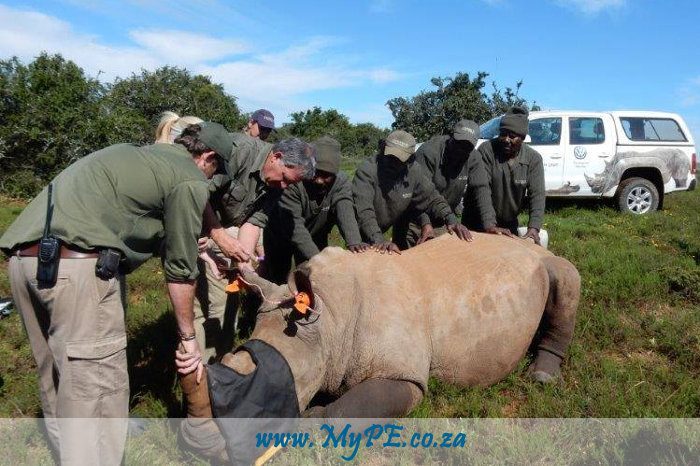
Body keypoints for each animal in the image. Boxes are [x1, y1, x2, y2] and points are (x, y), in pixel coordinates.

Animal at [179, 233, 580, 462]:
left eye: (270, 396)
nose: (198, 448)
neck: (329, 321)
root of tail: (527, 244)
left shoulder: (404, 377)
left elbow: (343, 413)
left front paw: (306, 422)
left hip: (546, 262)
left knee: (566, 277)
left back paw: (543, 377)